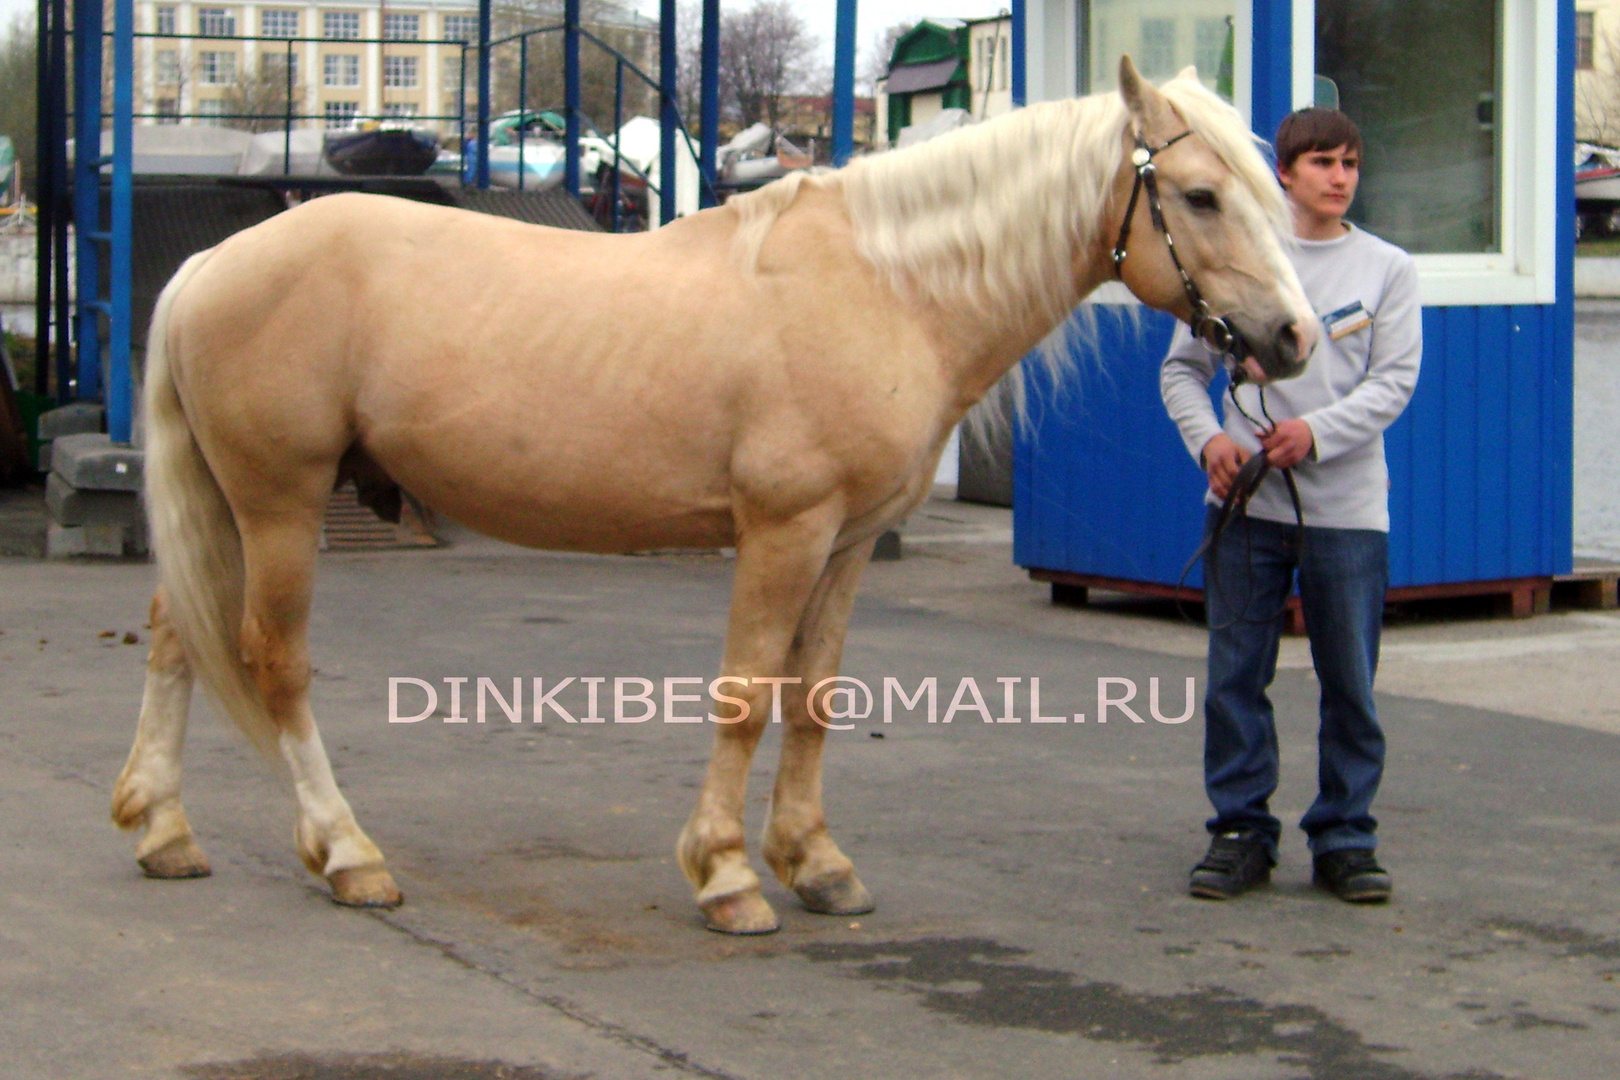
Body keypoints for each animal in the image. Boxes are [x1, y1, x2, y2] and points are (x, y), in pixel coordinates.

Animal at [119, 61, 1321, 939]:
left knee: (176, 638)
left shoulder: (846, 544)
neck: (886, 286)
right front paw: (730, 876)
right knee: (271, 661)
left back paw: (164, 832)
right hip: (279, 507)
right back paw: (347, 853)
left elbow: (812, 699)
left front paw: (817, 864)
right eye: (1201, 196)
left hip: (228, 509)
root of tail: (214, 262)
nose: (1294, 338)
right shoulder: (784, 533)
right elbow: (746, 697)